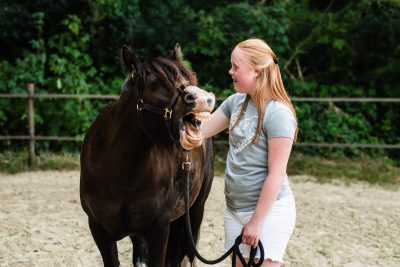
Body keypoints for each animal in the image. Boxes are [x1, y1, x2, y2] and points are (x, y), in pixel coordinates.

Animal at [79, 45, 216, 266]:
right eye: (153, 83)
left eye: (190, 78)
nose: (203, 99)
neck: (123, 172)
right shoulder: (98, 228)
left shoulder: (160, 226)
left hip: (195, 211)